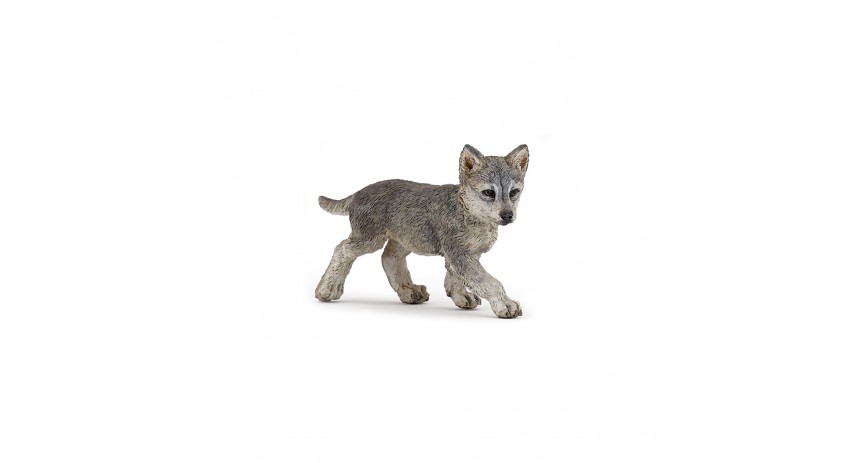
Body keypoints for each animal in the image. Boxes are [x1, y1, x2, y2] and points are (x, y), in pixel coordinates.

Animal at [315, 144, 529, 318]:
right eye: (489, 193)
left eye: (514, 192)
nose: (507, 215)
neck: (468, 210)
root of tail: (357, 193)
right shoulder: (459, 254)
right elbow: (489, 281)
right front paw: (505, 304)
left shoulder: (466, 254)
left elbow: (456, 278)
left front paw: (461, 296)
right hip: (369, 239)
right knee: (342, 249)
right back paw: (327, 289)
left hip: (405, 237)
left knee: (389, 258)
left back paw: (408, 290)